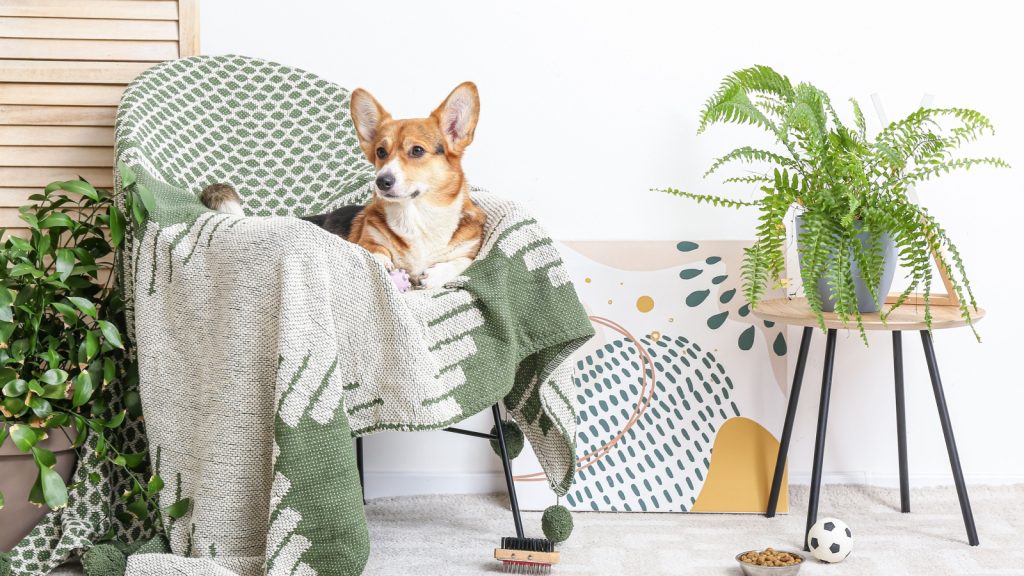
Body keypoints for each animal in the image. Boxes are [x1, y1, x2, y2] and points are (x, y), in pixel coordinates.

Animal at [202, 81, 487, 286]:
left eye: (417, 151)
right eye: (381, 152)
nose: (382, 181)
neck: (417, 216)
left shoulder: (470, 249)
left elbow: (461, 262)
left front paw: (436, 274)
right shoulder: (368, 239)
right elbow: (375, 250)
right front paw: (383, 263)